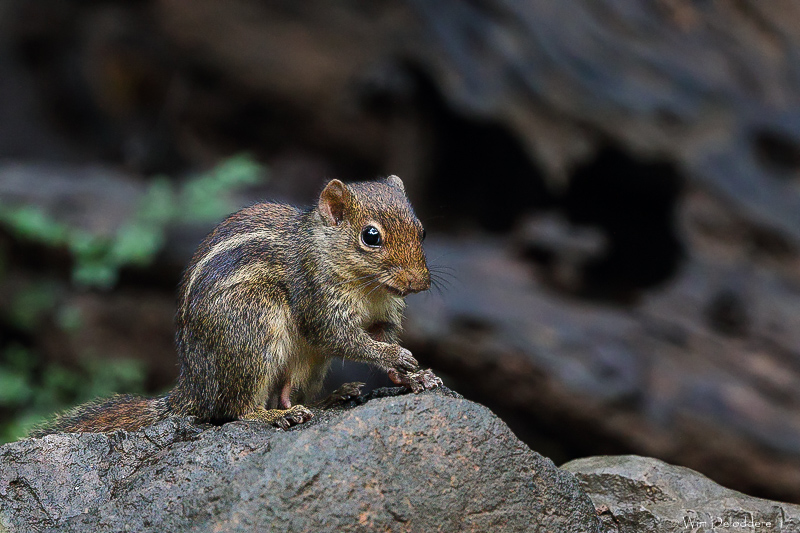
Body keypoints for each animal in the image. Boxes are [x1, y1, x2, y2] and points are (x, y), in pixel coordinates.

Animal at [31, 177, 440, 434]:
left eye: (422, 230)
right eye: (371, 236)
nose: (419, 283)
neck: (369, 287)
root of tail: (192, 387)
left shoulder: (383, 316)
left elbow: (380, 338)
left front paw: (414, 376)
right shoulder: (317, 300)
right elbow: (344, 339)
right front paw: (398, 357)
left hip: (303, 362)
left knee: (289, 393)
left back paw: (331, 398)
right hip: (254, 335)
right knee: (235, 412)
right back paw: (274, 417)